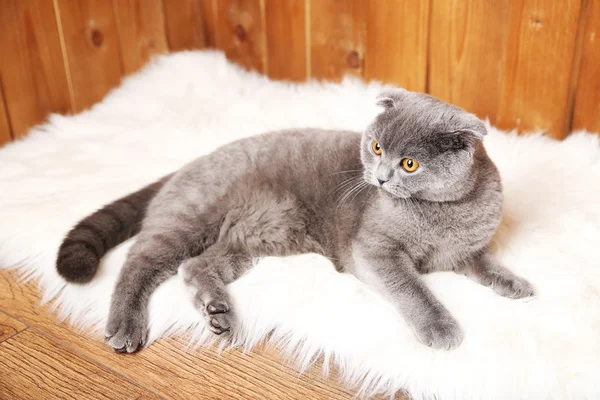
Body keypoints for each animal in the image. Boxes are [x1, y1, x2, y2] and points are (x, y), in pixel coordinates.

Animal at [56, 88, 536, 354]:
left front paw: (517, 284)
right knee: (139, 263)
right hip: (193, 216)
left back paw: (218, 312)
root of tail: (187, 165)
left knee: (193, 266)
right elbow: (413, 289)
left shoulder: (465, 249)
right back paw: (125, 327)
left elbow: (485, 263)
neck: (442, 212)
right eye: (377, 148)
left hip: (251, 238)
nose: (379, 178)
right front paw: (440, 328)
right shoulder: (374, 250)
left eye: (410, 163)